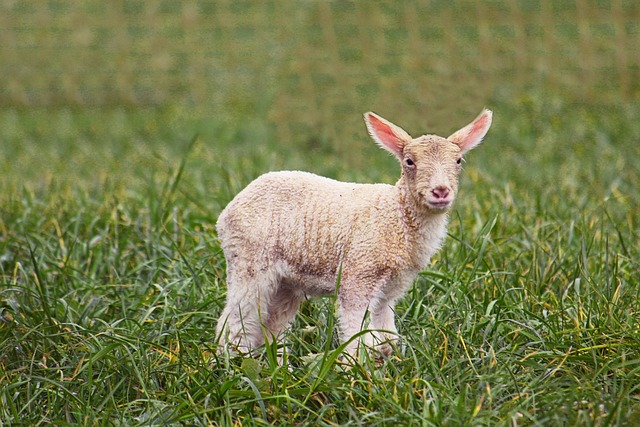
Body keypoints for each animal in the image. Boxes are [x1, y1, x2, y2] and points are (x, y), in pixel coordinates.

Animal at [215, 108, 490, 360]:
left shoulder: (392, 288)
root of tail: (228, 210)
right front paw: (356, 369)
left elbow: (387, 335)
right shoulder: (359, 274)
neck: (397, 215)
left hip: (286, 282)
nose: (441, 191)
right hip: (250, 260)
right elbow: (357, 331)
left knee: (270, 325)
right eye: (409, 162)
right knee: (236, 320)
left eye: (459, 161)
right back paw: (231, 362)